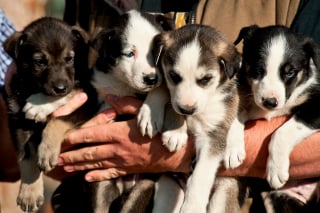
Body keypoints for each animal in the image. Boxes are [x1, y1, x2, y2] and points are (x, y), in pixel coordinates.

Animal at [3, 16, 98, 211]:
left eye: (69, 59)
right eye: (40, 61)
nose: (60, 88)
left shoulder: (87, 101)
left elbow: (57, 120)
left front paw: (46, 150)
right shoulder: (18, 122)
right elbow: (26, 158)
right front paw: (29, 193)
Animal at [152, 23, 245, 213]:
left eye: (206, 79)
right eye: (174, 76)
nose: (187, 109)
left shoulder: (213, 135)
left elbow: (200, 176)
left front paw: (192, 207)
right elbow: (170, 100)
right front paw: (176, 132)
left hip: (224, 192)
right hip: (168, 187)